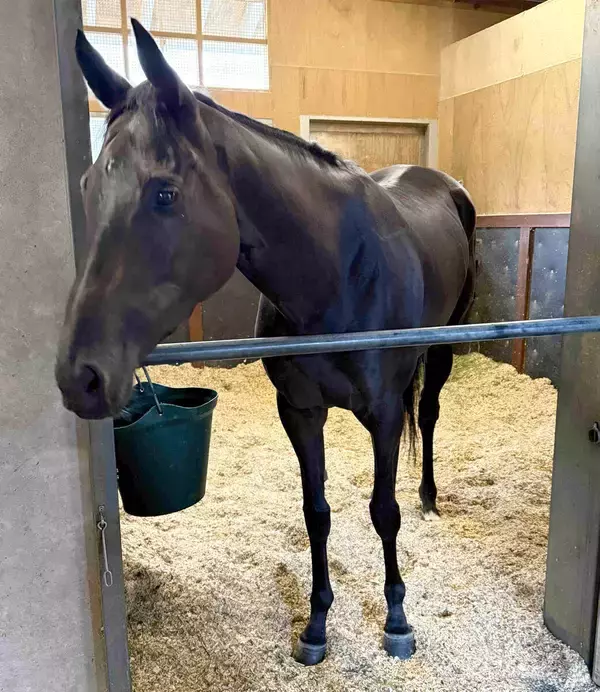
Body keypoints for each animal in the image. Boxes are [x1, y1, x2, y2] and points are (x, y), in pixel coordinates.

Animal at [56, 19, 476, 667]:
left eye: (164, 193)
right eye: (85, 187)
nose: (80, 376)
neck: (337, 274)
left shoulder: (382, 413)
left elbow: (383, 511)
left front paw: (397, 619)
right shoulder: (299, 412)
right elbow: (316, 513)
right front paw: (317, 623)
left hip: (443, 349)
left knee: (427, 415)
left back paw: (429, 495)